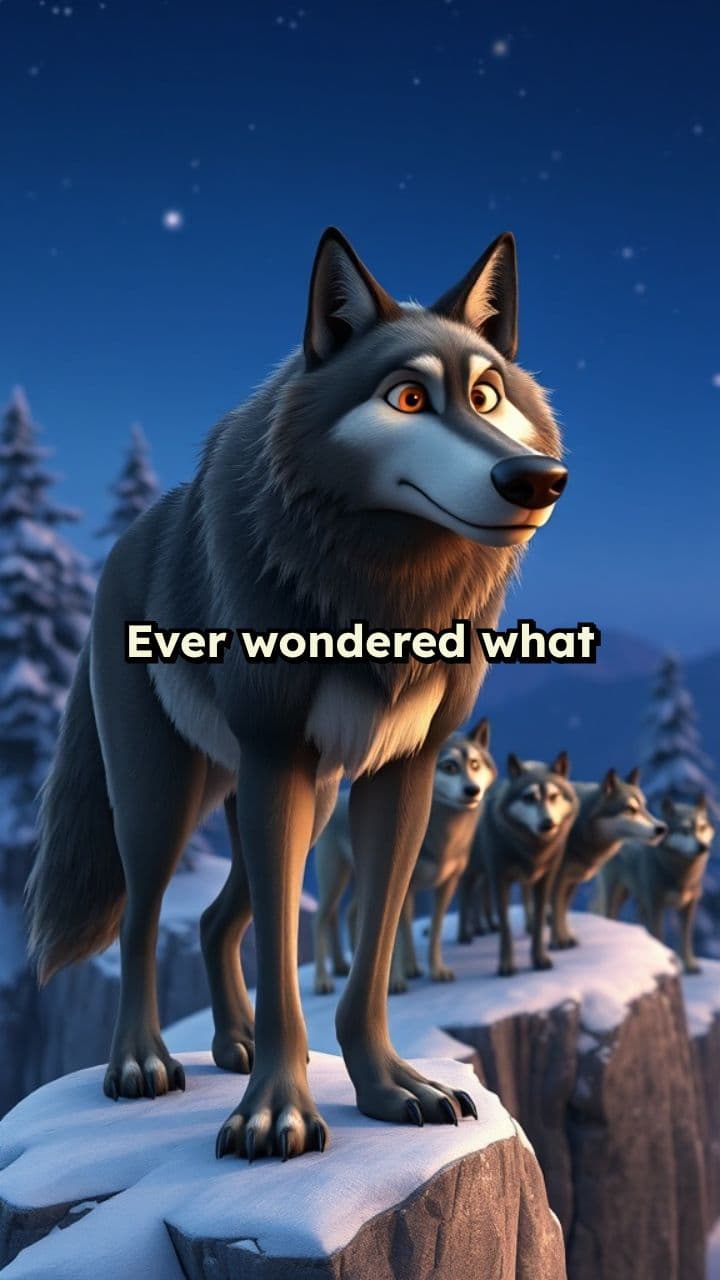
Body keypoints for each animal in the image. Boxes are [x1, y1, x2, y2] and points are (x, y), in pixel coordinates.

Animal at [313, 719, 496, 995]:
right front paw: (396, 981)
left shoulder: (447, 884)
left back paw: (349, 969)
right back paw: (324, 980)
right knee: (321, 918)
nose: (472, 791)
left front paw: (435, 970)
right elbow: (397, 935)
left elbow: (433, 930)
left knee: (349, 915)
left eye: (474, 764)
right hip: (335, 881)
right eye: (449, 766)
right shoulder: (401, 885)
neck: (442, 837)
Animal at [474, 753, 579, 976]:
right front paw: (506, 965)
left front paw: (539, 959)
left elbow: (540, 923)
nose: (547, 824)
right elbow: (506, 927)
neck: (532, 849)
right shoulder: (500, 879)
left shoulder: (544, 879)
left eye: (554, 796)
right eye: (529, 797)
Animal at [550, 769, 666, 949]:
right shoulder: (558, 879)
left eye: (644, 807)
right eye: (631, 809)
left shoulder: (570, 880)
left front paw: (564, 938)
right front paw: (560, 942)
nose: (662, 828)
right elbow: (556, 908)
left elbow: (561, 910)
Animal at [594, 796, 714, 972]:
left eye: (702, 827)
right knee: (608, 915)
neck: (679, 873)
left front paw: (690, 965)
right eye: (685, 830)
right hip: (616, 895)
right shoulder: (656, 905)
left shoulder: (689, 905)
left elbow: (686, 938)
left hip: (637, 899)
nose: (703, 847)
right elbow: (658, 934)